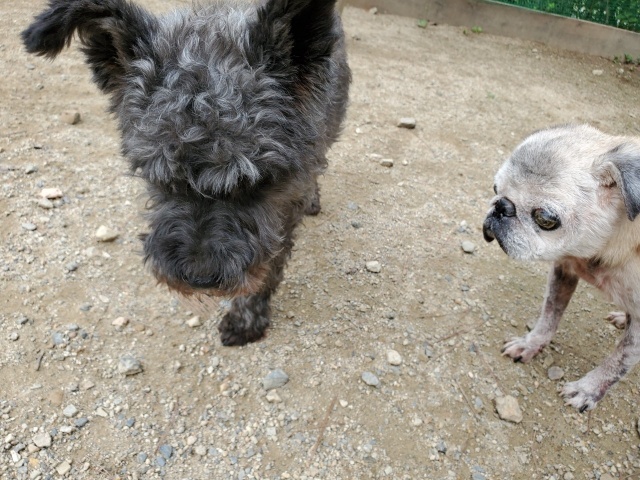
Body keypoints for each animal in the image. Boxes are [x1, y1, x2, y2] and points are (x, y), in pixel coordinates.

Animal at [22, 0, 350, 346]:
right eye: (160, 178)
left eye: (256, 181)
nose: (199, 278)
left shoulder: (284, 206)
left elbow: (270, 264)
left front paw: (246, 318)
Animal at [483, 124, 640, 411]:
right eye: (495, 187)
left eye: (545, 219)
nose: (500, 206)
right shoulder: (563, 270)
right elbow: (549, 316)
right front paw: (530, 344)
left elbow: (618, 361)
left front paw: (588, 390)